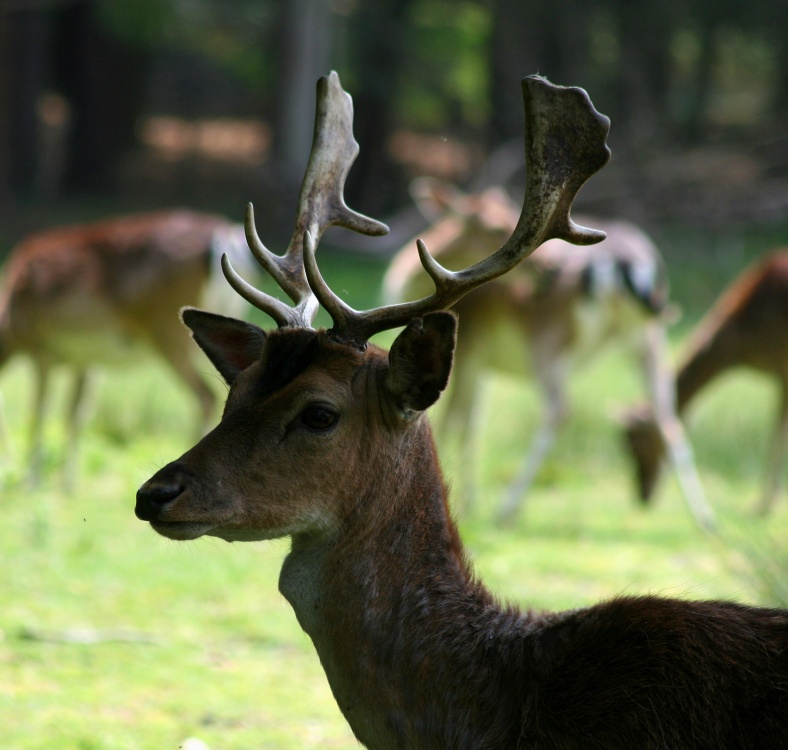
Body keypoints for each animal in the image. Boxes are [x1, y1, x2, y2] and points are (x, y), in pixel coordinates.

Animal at [0, 209, 249, 488]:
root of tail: (226, 237)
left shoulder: (41, 349)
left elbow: (38, 412)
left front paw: (31, 481)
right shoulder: (85, 360)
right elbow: (75, 414)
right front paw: (68, 483)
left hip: (167, 330)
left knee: (205, 395)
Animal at [383, 179, 713, 528]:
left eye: (510, 217)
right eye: (494, 225)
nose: (550, 268)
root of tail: (623, 265)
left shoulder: (471, 349)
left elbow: (454, 419)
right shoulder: (481, 365)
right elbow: (473, 422)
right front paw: (466, 501)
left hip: (548, 345)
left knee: (559, 409)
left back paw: (507, 509)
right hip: (646, 337)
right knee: (668, 415)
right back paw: (705, 519)